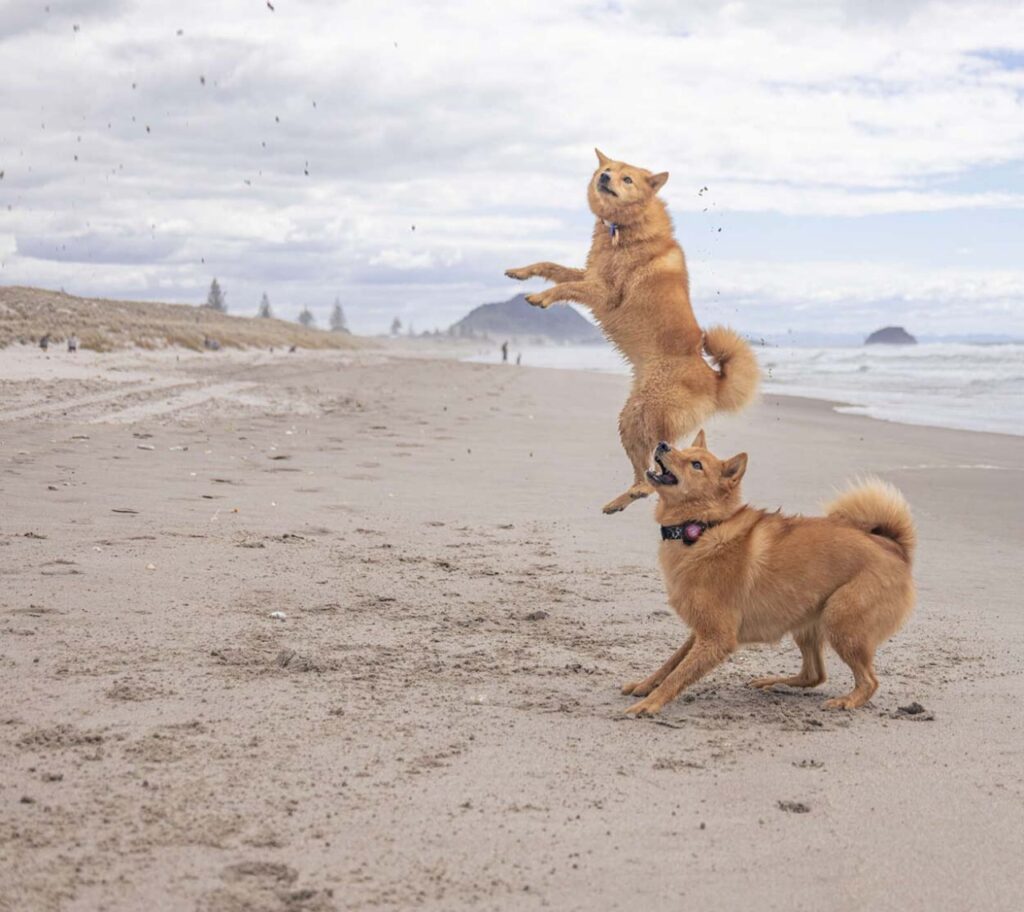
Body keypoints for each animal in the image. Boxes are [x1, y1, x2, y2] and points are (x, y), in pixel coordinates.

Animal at [505, 149, 761, 513]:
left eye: (626, 178)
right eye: (607, 169)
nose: (604, 178)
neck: (623, 228)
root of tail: (714, 380)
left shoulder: (604, 291)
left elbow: (566, 285)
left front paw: (542, 297)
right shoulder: (590, 274)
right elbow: (552, 267)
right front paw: (522, 271)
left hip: (643, 412)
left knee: (655, 472)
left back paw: (640, 489)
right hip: (629, 418)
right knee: (648, 470)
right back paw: (619, 501)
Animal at [618, 431, 917, 716]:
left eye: (696, 465)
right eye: (685, 451)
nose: (663, 444)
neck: (705, 528)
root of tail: (895, 547)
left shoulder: (716, 637)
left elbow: (677, 675)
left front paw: (650, 704)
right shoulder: (702, 631)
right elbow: (671, 663)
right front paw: (645, 685)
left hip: (841, 620)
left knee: (868, 681)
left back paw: (846, 701)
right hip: (807, 624)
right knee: (814, 674)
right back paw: (774, 683)